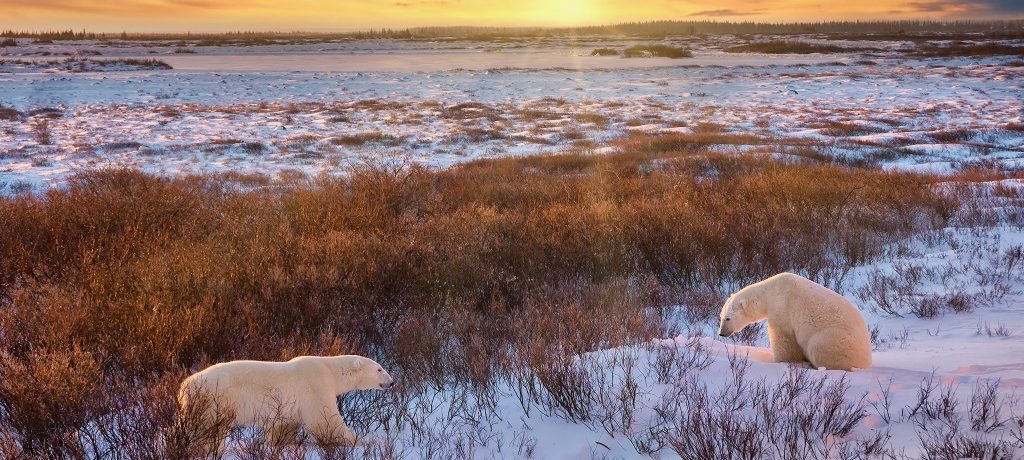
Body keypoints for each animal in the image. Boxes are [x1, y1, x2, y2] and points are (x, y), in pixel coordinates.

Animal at [178, 354, 393, 450]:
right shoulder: (315, 385)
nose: (392, 382)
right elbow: (326, 420)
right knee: (209, 431)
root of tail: (184, 387)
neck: (329, 369)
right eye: (379, 369)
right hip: (214, 400)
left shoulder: (289, 405)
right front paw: (362, 441)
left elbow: (283, 425)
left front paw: (281, 444)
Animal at [720, 270, 872, 370]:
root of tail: (866, 359)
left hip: (834, 339)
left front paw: (784, 361)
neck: (770, 292)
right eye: (720, 317)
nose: (721, 333)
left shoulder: (782, 307)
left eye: (728, 318)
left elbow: (783, 338)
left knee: (819, 348)